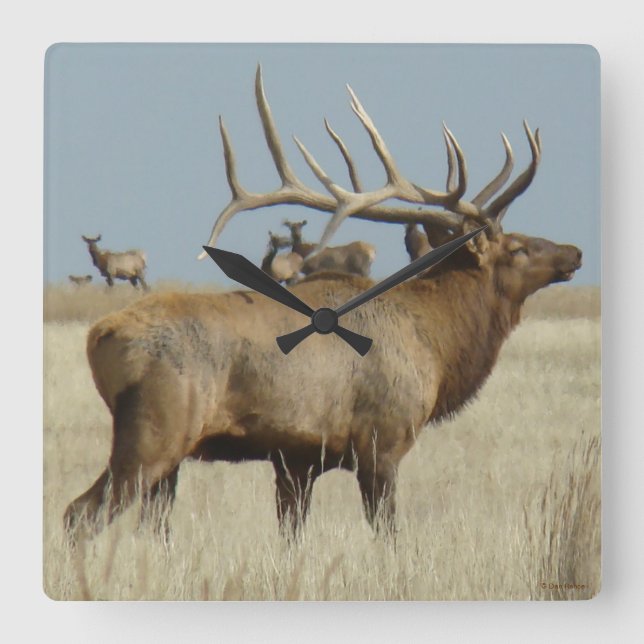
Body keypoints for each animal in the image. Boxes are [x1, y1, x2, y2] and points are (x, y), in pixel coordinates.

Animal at [64, 67, 581, 544]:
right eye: (517, 247)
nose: (574, 252)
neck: (437, 344)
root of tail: (99, 336)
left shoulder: (297, 459)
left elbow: (291, 535)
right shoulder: (382, 441)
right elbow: (388, 535)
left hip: (167, 455)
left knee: (150, 526)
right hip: (155, 432)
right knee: (79, 514)